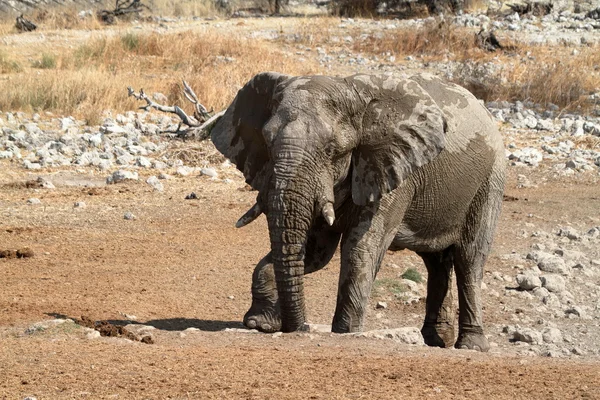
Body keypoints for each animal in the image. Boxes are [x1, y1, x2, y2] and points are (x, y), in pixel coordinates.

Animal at [209, 70, 504, 352]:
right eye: (267, 142)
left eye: (333, 150)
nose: (300, 327)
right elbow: (315, 252)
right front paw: (260, 322)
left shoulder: (390, 168)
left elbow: (359, 248)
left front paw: (345, 332)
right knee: (436, 262)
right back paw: (436, 340)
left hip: (490, 180)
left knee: (469, 259)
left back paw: (471, 345)